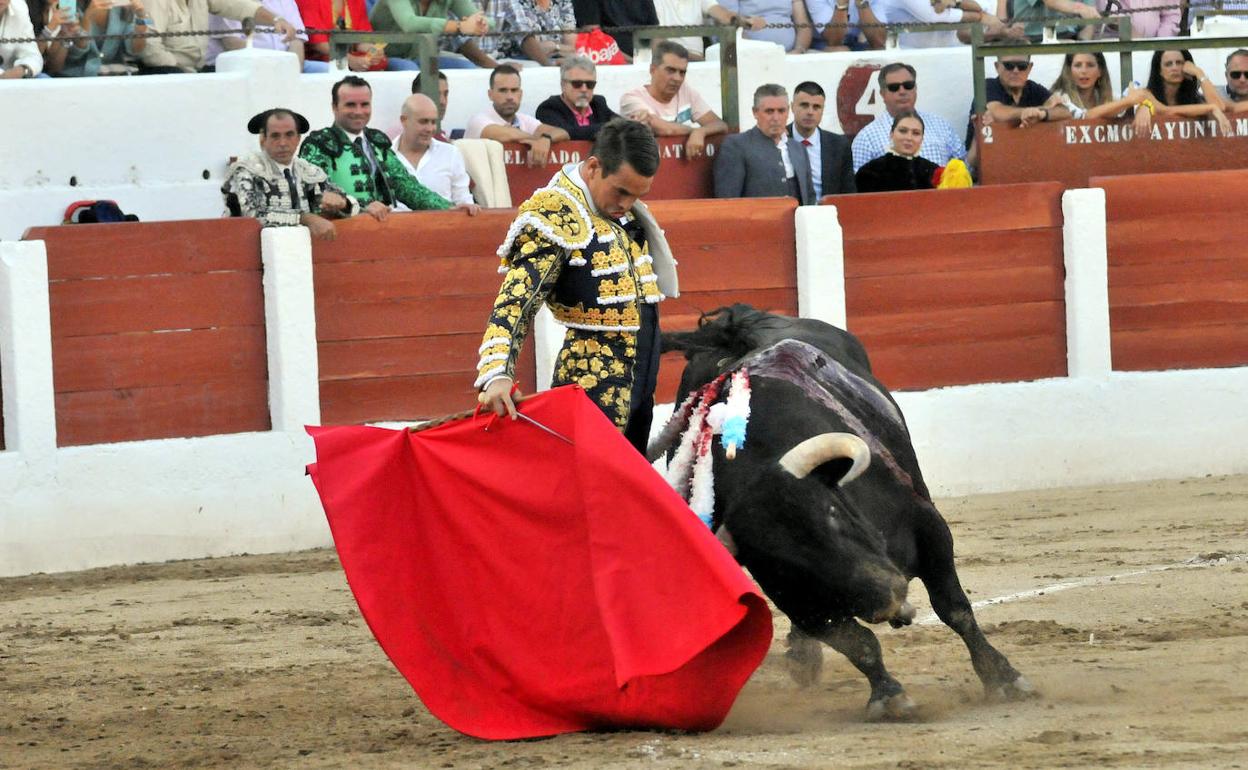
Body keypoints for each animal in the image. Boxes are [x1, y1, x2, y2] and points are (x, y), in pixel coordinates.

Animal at [658, 303, 1038, 718]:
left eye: (832, 512)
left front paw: (1004, 678)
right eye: (787, 561)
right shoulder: (797, 599)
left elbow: (954, 609)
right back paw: (805, 658)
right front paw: (889, 696)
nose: (888, 600)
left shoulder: (930, 530)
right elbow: (858, 643)